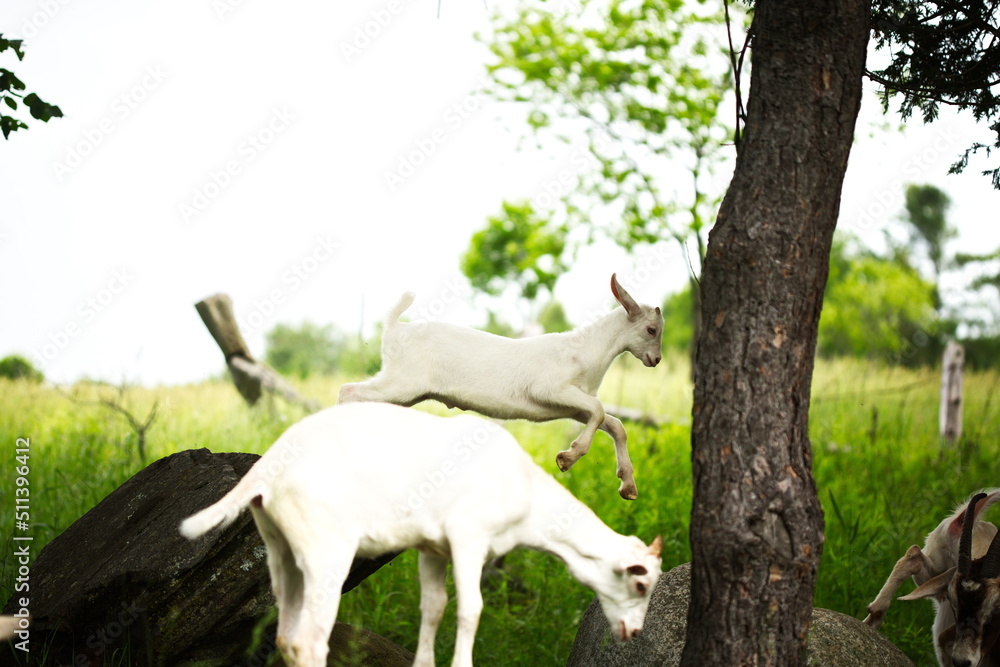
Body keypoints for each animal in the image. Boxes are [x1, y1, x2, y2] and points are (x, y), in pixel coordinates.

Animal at [180, 402, 663, 667]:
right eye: (639, 582)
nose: (635, 633)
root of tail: (269, 464)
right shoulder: (469, 538)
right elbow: (471, 609)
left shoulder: (433, 547)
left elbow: (434, 609)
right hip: (326, 551)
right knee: (308, 642)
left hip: (280, 548)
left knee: (284, 637)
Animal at [337, 273, 664, 500]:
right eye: (651, 329)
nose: (656, 360)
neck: (587, 350)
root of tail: (395, 328)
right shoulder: (550, 389)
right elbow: (599, 410)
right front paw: (566, 458)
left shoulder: (569, 405)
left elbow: (613, 423)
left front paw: (628, 486)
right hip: (401, 382)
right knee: (347, 392)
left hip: (404, 389)